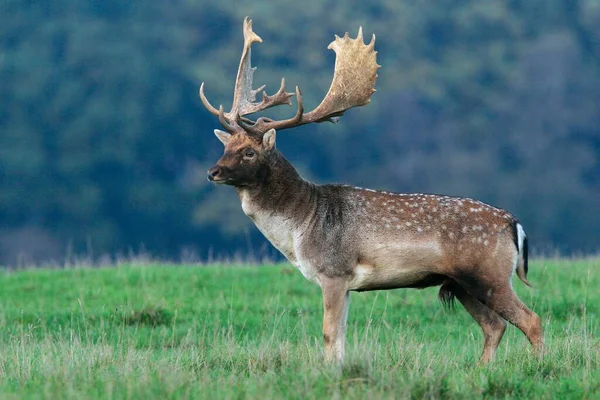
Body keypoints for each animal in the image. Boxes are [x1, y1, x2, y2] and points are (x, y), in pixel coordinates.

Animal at [200, 17, 544, 364]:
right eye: (226, 146)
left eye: (249, 152)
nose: (213, 172)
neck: (301, 225)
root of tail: (514, 224)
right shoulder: (345, 282)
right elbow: (340, 335)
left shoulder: (334, 271)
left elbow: (329, 334)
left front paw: (330, 370)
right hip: (462, 283)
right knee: (495, 326)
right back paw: (482, 369)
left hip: (489, 274)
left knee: (531, 320)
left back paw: (538, 365)